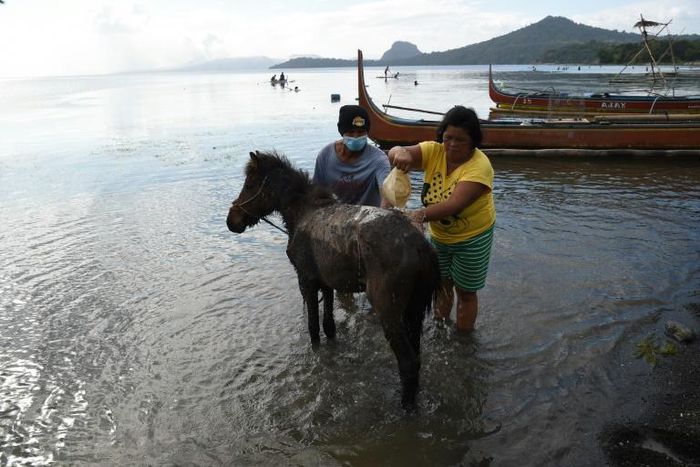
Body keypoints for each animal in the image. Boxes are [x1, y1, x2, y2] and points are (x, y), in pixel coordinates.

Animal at [226, 150, 440, 408]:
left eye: (249, 185)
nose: (232, 221)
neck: (302, 213)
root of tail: (420, 246)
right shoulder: (326, 284)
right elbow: (329, 325)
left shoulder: (307, 281)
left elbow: (313, 328)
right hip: (414, 310)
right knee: (417, 356)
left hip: (390, 311)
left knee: (408, 362)